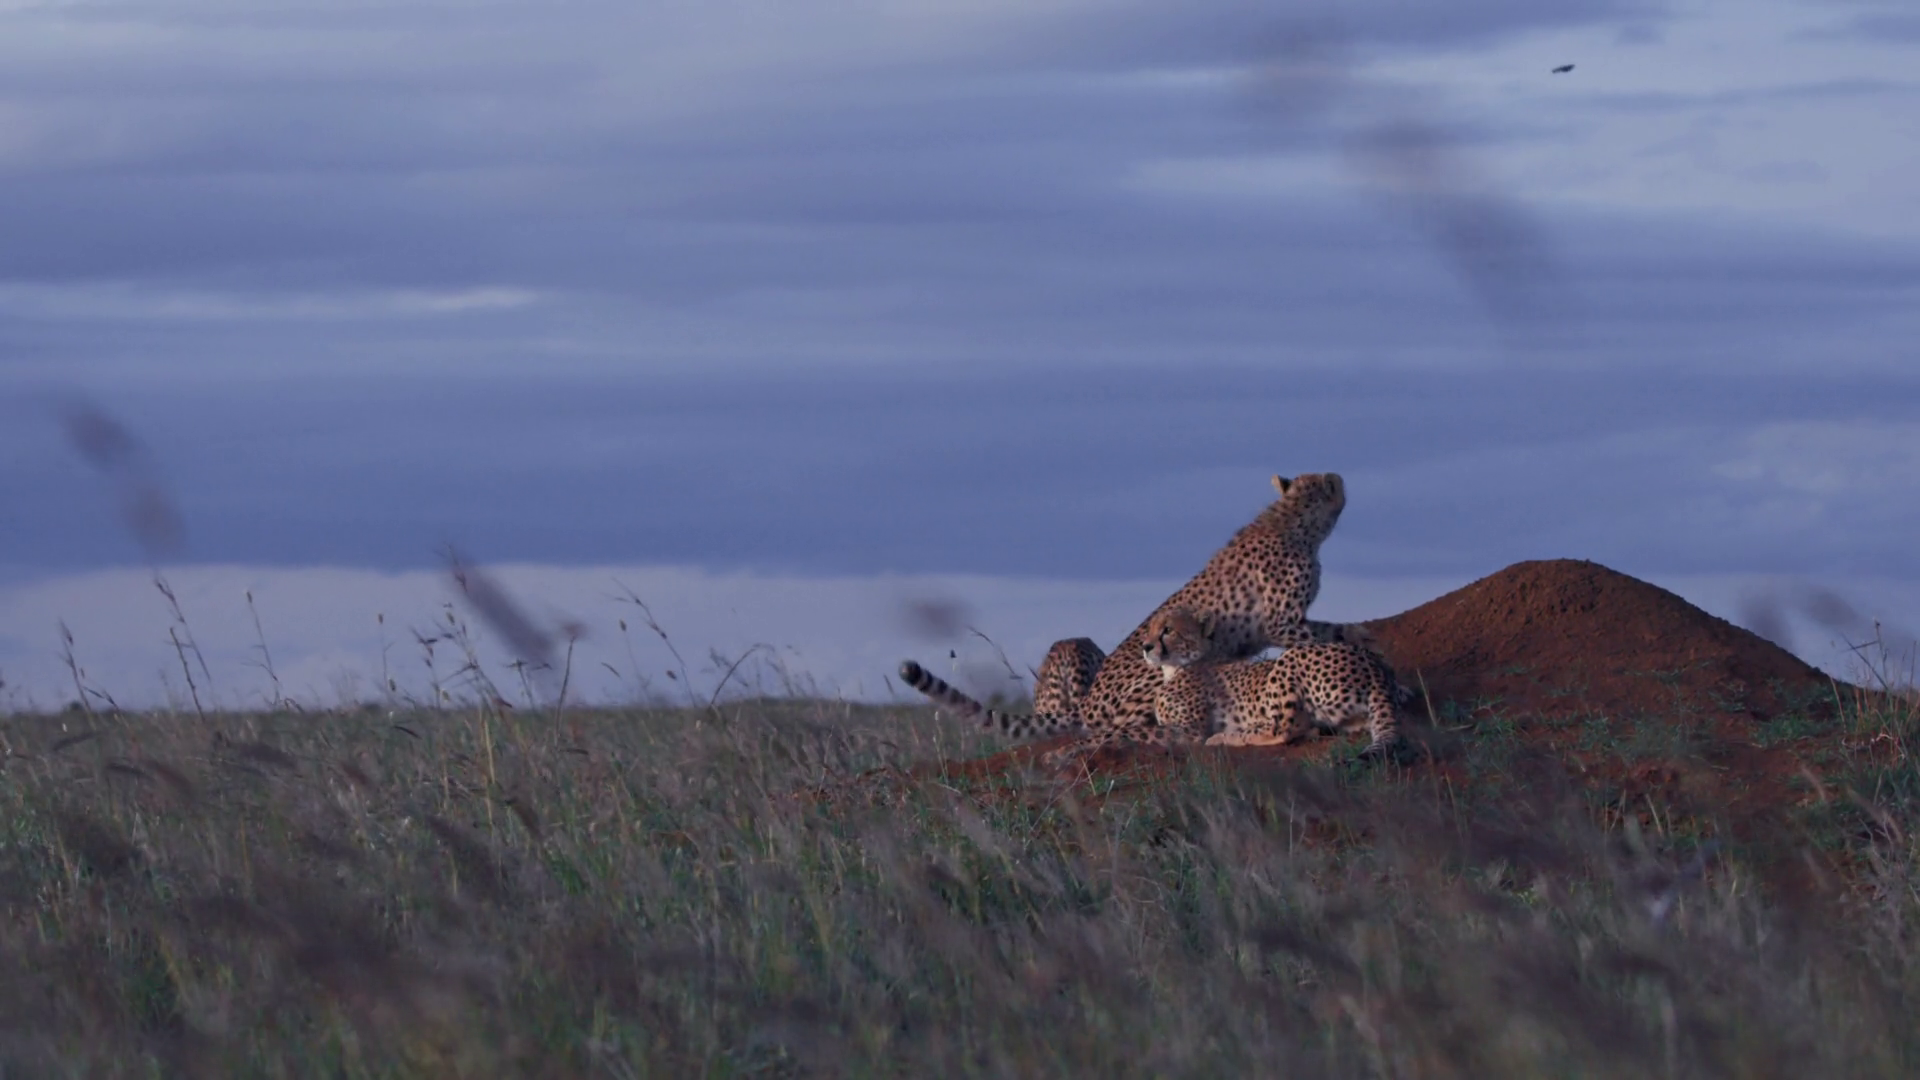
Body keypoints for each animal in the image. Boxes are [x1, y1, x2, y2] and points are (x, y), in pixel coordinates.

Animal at [899, 471, 1374, 759]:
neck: (1294, 519)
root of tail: (1087, 703)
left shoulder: (1291, 621)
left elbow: (1337, 629)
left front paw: (1362, 636)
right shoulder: (1283, 622)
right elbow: (1318, 638)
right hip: (1149, 684)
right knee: (1118, 731)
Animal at [1141, 605, 1405, 761]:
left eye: (1167, 630)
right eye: (1150, 629)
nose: (1146, 646)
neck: (1176, 666)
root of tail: (1373, 666)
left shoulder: (1191, 732)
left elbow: (1145, 733)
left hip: (1290, 660)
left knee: (1285, 729)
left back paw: (1225, 737)